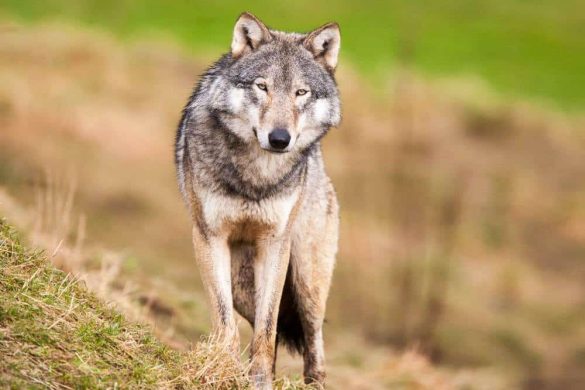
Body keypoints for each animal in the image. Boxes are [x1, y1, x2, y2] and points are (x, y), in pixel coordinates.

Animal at [173, 12, 340, 390]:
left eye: (301, 93)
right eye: (262, 87)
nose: (279, 139)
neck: (256, 177)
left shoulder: (275, 244)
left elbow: (266, 329)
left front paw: (258, 380)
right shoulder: (209, 238)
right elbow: (226, 324)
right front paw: (225, 371)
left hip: (307, 281)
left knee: (313, 341)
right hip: (242, 285)